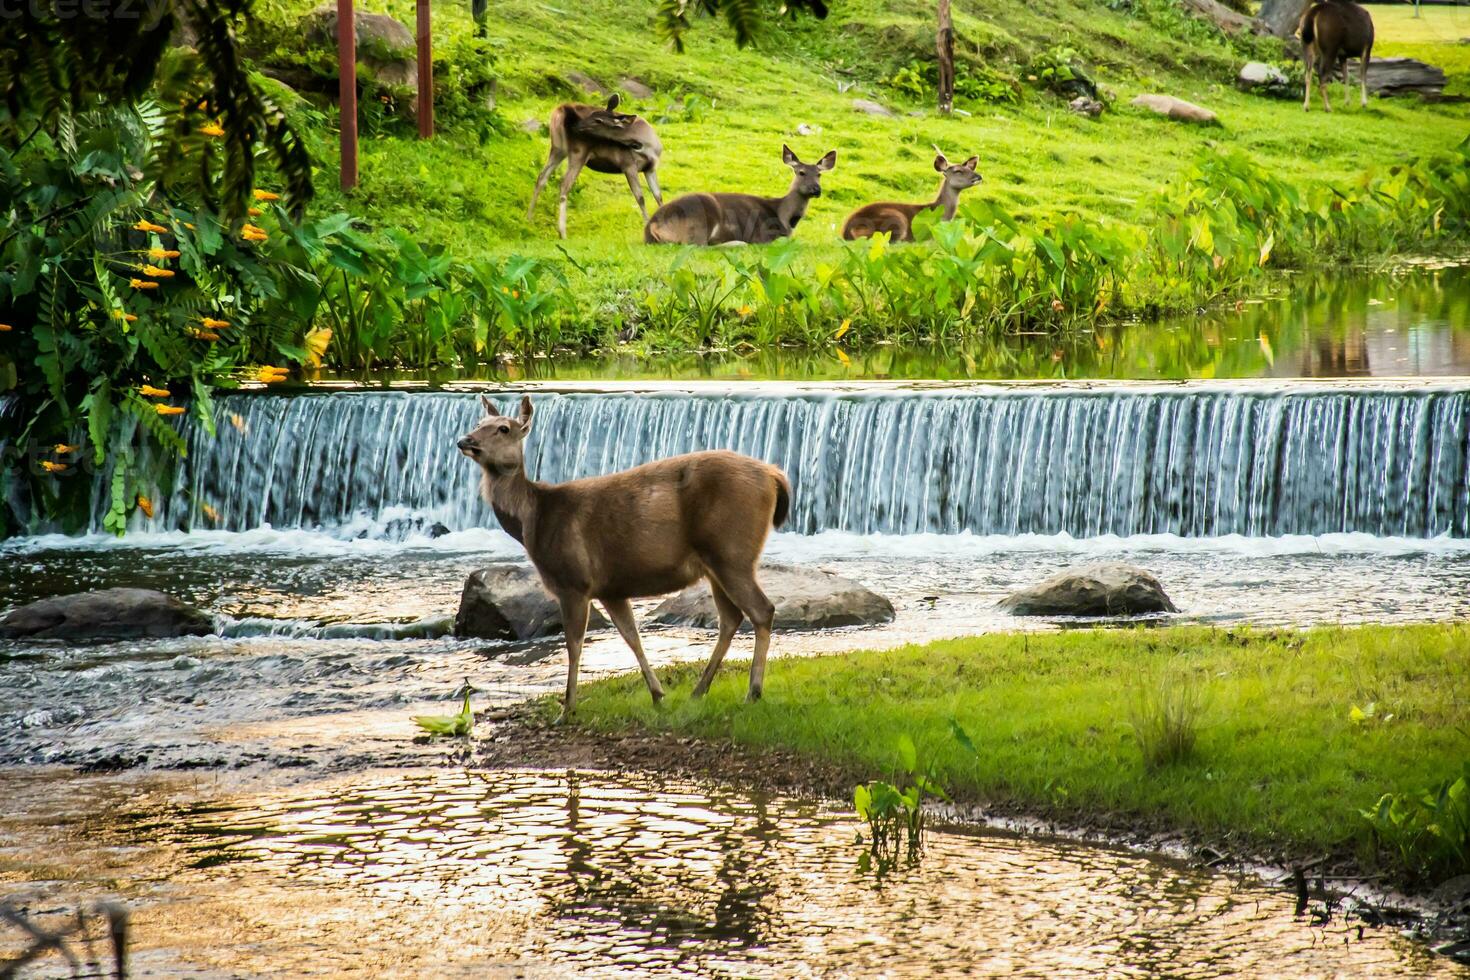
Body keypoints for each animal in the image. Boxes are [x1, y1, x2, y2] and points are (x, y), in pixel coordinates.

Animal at [458, 393, 793, 725]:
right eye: (478, 422)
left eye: (503, 428)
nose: (464, 440)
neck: (534, 521)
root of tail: (775, 475)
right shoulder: (611, 589)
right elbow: (632, 637)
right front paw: (658, 695)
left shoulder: (573, 581)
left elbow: (574, 645)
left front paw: (567, 709)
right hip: (717, 564)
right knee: (731, 617)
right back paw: (700, 691)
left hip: (731, 551)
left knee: (761, 609)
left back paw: (753, 692)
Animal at [526, 94, 664, 239]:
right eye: (592, 114)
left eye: (598, 120)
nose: (577, 125)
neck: (648, 146)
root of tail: (558, 112)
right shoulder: (628, 164)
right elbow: (640, 197)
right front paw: (647, 225)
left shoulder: (650, 168)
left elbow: (658, 195)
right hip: (578, 152)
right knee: (564, 184)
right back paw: (562, 232)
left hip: (558, 149)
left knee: (541, 177)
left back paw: (529, 218)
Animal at [646, 144, 840, 245]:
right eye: (801, 172)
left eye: (819, 174)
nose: (816, 189)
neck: (784, 219)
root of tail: (652, 226)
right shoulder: (763, 236)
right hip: (699, 219)